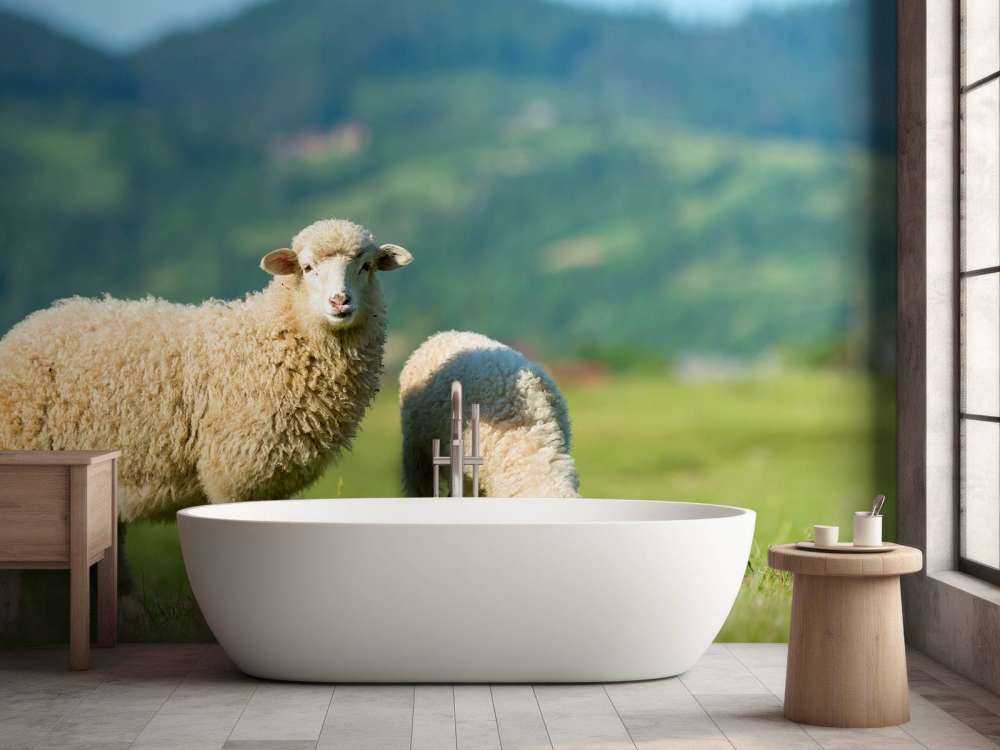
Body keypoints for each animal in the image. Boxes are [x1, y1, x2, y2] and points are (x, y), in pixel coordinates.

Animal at [0, 219, 413, 521]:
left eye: (366, 266)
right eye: (307, 267)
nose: (340, 301)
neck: (271, 336)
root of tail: (27, 326)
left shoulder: (274, 481)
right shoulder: (234, 472)